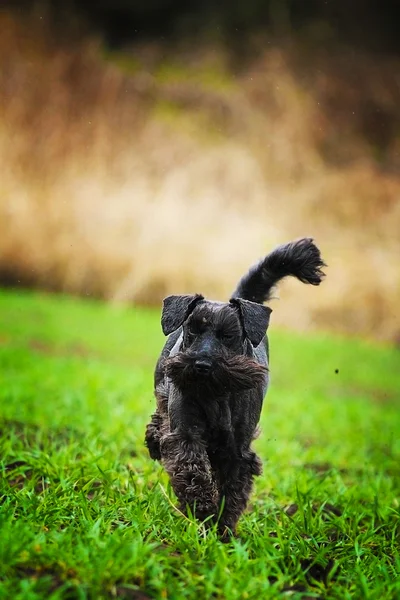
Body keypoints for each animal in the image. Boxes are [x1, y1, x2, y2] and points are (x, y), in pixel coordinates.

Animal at [145, 237, 326, 536]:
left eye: (229, 335)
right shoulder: (185, 433)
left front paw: (223, 526)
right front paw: (202, 509)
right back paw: (153, 442)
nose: (202, 365)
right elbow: (192, 469)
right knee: (158, 418)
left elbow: (234, 488)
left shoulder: (237, 448)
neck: (215, 394)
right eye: (192, 330)